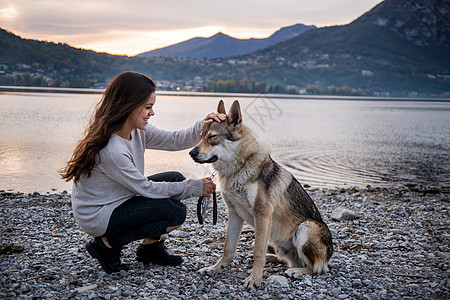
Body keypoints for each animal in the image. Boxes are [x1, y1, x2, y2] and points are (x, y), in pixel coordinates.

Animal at [188, 99, 332, 288]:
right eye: (200, 136)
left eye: (212, 137)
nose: (191, 153)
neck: (237, 170)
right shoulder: (234, 213)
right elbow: (228, 248)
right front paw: (215, 268)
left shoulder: (262, 214)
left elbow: (257, 251)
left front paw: (254, 279)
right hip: (277, 241)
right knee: (290, 260)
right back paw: (273, 258)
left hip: (304, 228)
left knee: (316, 268)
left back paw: (296, 271)